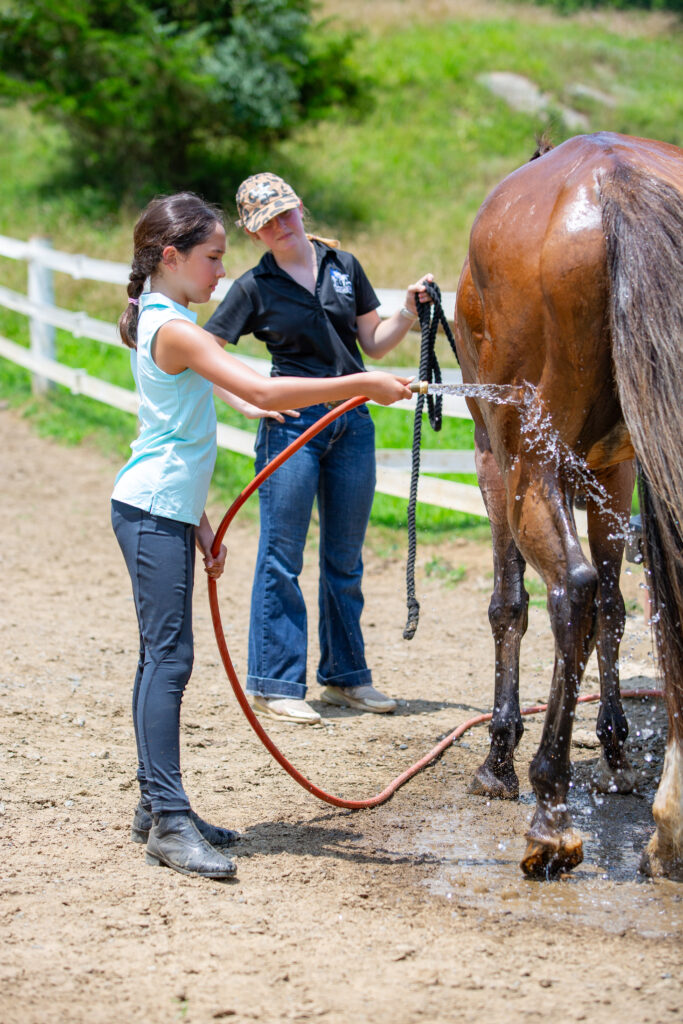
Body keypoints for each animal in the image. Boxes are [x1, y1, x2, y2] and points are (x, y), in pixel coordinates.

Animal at [453, 131, 683, 879]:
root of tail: (613, 179)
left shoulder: (492, 461)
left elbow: (511, 606)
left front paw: (499, 757)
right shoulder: (618, 469)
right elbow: (616, 607)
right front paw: (615, 751)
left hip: (527, 461)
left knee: (570, 591)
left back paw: (550, 810)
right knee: (602, 598)